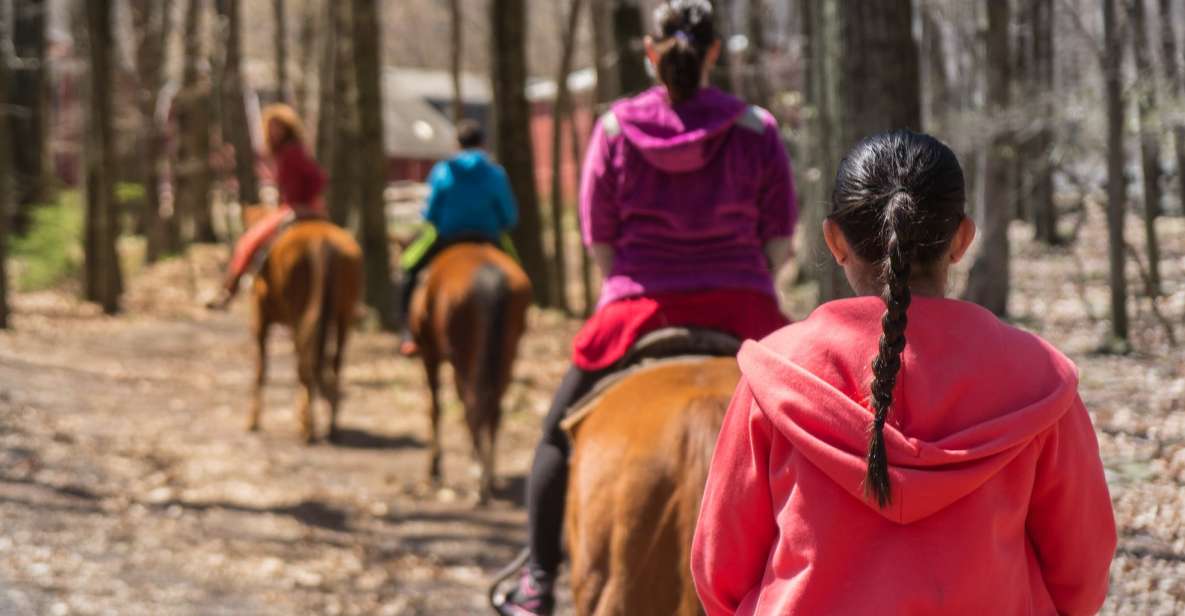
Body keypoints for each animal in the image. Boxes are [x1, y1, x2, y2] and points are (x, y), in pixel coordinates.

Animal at [242, 207, 362, 443]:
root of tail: (320, 240)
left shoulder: (259, 317)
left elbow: (261, 367)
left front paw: (253, 420)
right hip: (343, 314)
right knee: (333, 361)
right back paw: (330, 422)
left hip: (299, 312)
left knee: (305, 363)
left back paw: (307, 425)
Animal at [412, 242, 533, 502]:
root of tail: (489, 277)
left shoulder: (430, 354)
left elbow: (434, 409)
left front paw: (435, 470)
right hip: (506, 351)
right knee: (494, 409)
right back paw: (488, 474)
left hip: (464, 354)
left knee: (472, 405)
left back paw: (479, 480)